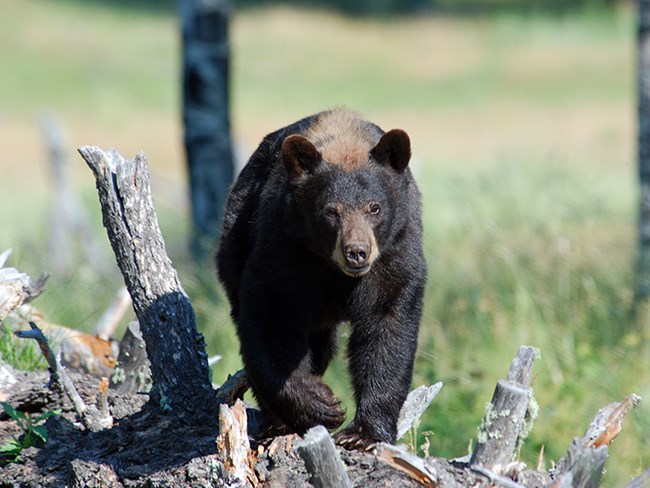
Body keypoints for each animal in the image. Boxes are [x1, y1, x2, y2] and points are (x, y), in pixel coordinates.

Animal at [215, 108, 422, 448]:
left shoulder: (395, 251)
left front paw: (364, 433)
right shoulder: (286, 245)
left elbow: (387, 326)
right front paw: (321, 404)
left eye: (374, 207)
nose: (357, 252)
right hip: (236, 238)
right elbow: (272, 316)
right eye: (331, 211)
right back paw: (276, 420)